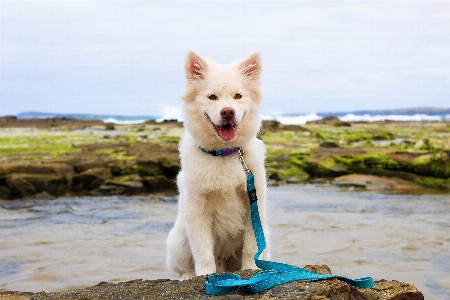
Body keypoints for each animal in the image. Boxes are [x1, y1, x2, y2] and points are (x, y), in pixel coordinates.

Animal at [166, 49, 268, 278]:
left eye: (238, 96)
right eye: (212, 97)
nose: (227, 111)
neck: (224, 154)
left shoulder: (253, 203)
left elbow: (251, 246)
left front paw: (251, 269)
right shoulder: (197, 210)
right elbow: (202, 250)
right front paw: (205, 275)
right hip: (178, 243)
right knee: (184, 266)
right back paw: (188, 276)